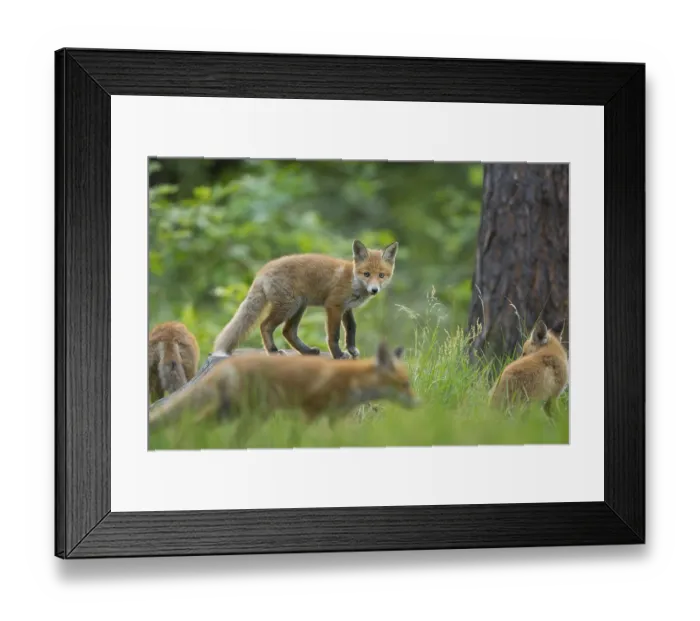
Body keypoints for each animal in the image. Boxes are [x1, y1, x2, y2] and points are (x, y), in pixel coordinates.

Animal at [212, 239, 399, 360]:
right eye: (366, 274)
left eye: (381, 275)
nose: (374, 290)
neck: (352, 280)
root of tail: (262, 271)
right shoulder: (333, 305)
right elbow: (334, 335)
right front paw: (338, 355)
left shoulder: (347, 308)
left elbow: (351, 329)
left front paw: (352, 350)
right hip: (288, 307)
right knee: (265, 326)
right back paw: (273, 351)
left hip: (299, 307)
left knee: (288, 332)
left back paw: (307, 352)